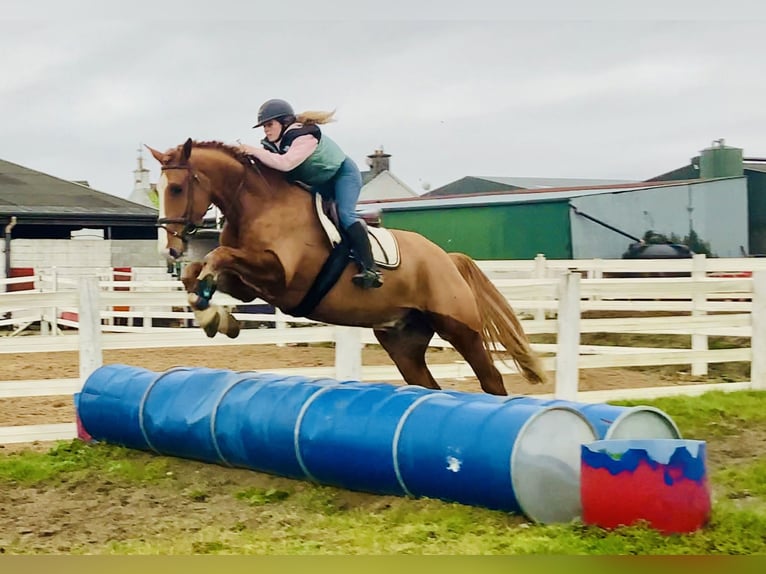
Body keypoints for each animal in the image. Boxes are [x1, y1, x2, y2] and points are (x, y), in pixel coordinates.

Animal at [147, 138, 546, 395]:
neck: (258, 204)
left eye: (177, 188)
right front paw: (213, 315)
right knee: (426, 384)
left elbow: (217, 256)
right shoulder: (251, 285)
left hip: (459, 327)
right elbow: (199, 271)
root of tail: (446, 259)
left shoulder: (281, 277)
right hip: (403, 341)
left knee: (491, 379)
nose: (169, 248)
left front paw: (211, 313)